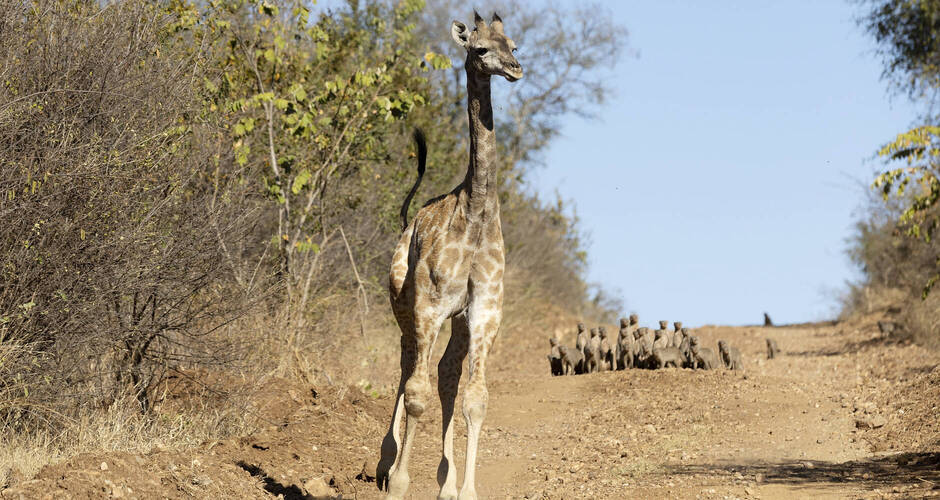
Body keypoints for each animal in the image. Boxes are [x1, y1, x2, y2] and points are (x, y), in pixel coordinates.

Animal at [376, 11, 522, 500]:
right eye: (480, 49)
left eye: (514, 44)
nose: (515, 69)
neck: (475, 211)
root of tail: (408, 222)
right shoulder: (429, 304)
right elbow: (417, 393)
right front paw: (400, 482)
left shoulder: (483, 310)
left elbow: (474, 398)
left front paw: (463, 489)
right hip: (405, 306)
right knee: (408, 369)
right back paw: (386, 463)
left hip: (454, 321)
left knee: (443, 375)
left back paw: (446, 481)